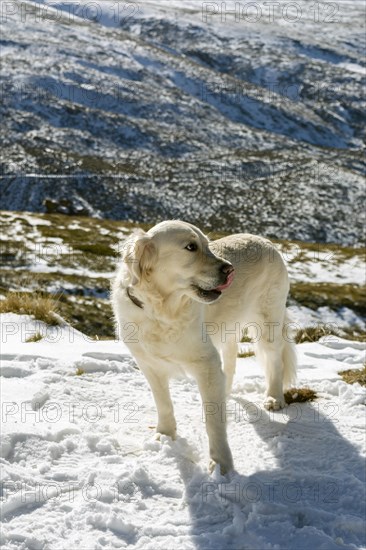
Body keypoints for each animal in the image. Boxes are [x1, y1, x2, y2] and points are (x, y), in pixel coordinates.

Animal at [111, 222, 298, 476]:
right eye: (191, 247)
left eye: (208, 245)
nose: (230, 269)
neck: (162, 312)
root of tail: (266, 241)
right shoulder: (149, 365)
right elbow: (163, 403)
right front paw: (165, 435)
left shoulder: (205, 363)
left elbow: (213, 421)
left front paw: (221, 464)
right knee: (230, 361)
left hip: (267, 323)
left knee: (275, 360)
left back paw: (274, 397)